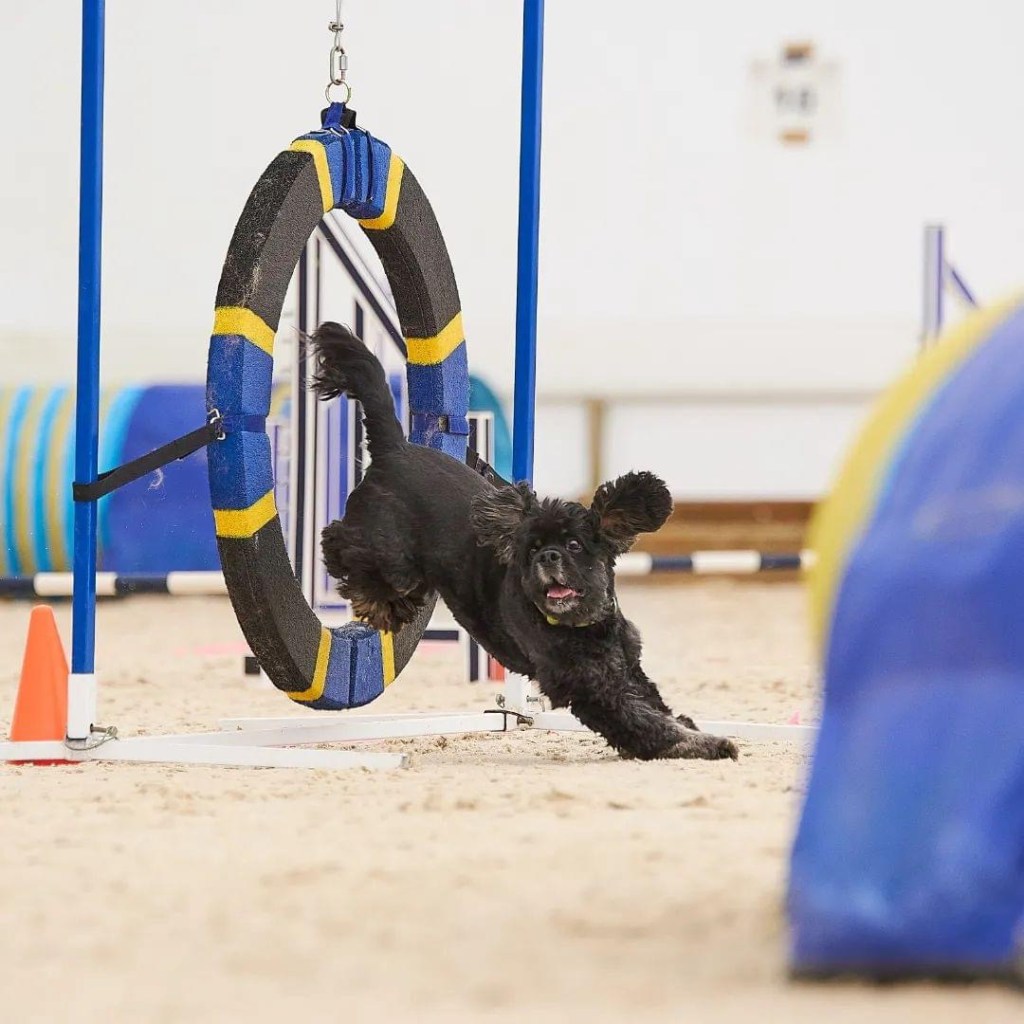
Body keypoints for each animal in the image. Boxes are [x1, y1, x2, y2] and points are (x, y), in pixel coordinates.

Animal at [310, 322, 738, 762]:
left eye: (574, 545)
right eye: (531, 549)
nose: (547, 556)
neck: (585, 626)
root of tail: (394, 450)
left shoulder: (627, 670)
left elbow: (657, 708)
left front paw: (694, 730)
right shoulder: (590, 687)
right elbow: (646, 723)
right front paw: (705, 743)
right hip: (389, 552)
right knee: (340, 543)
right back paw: (372, 596)